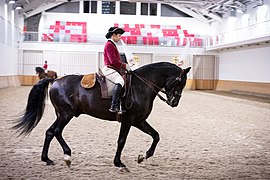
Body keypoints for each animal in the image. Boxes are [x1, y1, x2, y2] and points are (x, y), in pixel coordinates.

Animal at [12, 62, 190, 171]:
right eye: (180, 82)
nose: (174, 102)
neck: (142, 86)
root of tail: (55, 80)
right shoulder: (128, 120)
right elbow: (121, 141)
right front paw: (118, 162)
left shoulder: (139, 121)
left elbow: (156, 136)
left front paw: (143, 156)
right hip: (66, 114)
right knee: (56, 131)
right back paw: (67, 156)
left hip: (62, 114)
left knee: (50, 132)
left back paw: (47, 159)